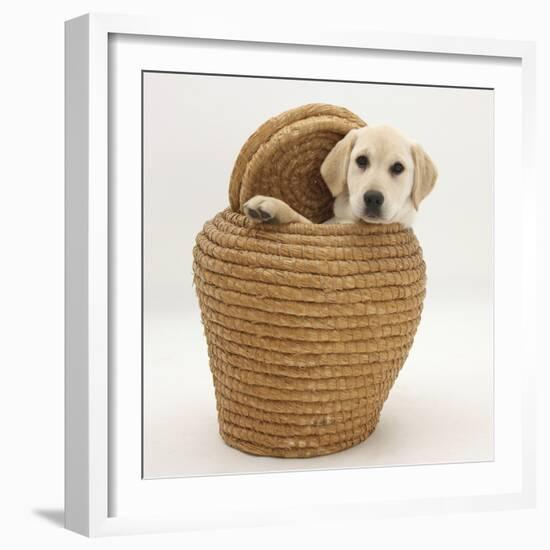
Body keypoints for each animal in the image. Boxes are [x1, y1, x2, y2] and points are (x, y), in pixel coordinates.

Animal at [246, 126, 440, 227]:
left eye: (398, 168)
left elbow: (302, 219)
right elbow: (304, 220)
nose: (373, 198)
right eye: (361, 160)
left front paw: (271, 206)